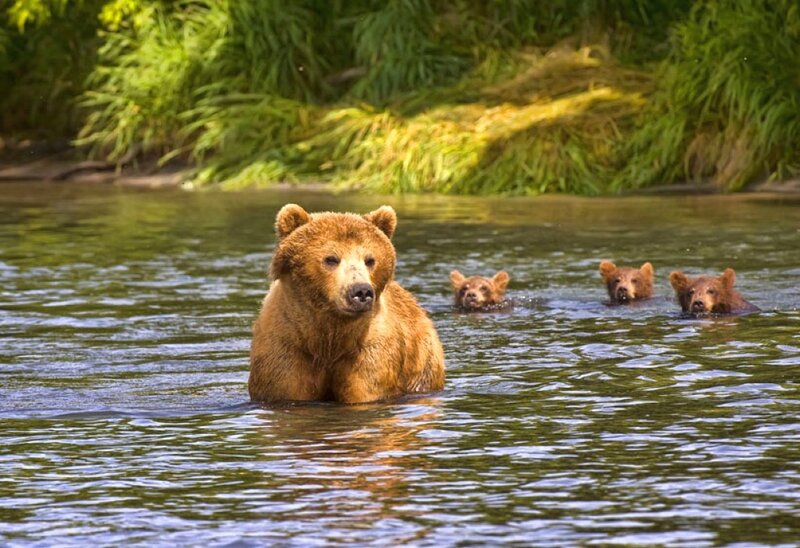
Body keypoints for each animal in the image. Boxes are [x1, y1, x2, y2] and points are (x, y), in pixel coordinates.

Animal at [248, 203, 445, 404]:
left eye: (370, 260)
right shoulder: (287, 346)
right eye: (331, 258)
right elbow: (286, 387)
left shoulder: (370, 347)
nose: (361, 291)